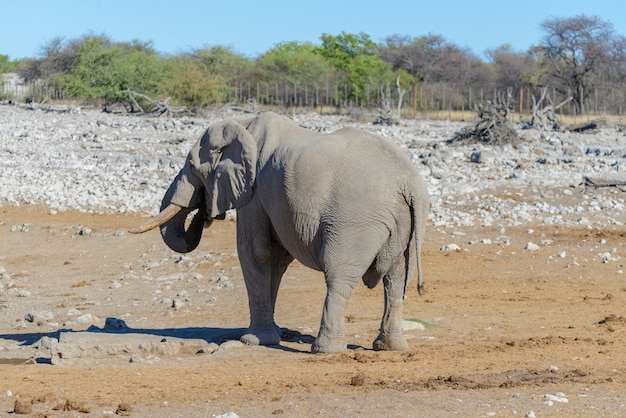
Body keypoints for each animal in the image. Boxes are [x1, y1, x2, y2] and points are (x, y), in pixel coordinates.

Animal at [129, 112, 426, 352]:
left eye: (191, 167)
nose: (204, 212)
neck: (243, 124)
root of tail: (410, 183)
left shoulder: (253, 192)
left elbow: (255, 252)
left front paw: (252, 340)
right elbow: (276, 258)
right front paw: (272, 335)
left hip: (355, 221)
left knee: (339, 277)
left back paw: (325, 350)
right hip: (407, 225)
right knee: (396, 279)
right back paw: (390, 347)